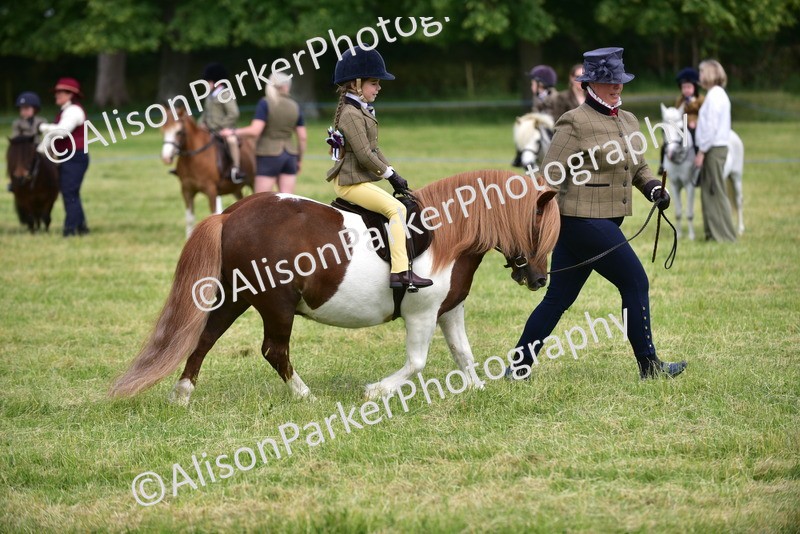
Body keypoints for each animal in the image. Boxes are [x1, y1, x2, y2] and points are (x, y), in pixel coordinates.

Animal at [109, 170, 560, 405]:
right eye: (539, 230)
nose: (540, 280)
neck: (445, 233)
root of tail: (231, 213)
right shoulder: (422, 313)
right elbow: (416, 363)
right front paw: (376, 390)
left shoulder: (448, 310)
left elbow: (463, 353)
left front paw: (479, 389)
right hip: (276, 304)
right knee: (274, 350)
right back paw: (305, 396)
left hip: (235, 298)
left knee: (203, 339)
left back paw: (182, 395)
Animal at [161, 108, 256, 237]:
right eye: (163, 130)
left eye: (179, 132)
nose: (166, 158)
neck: (194, 157)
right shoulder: (187, 190)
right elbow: (189, 218)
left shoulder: (211, 190)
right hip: (236, 189)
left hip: (253, 182)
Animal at [660, 104, 745, 239]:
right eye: (662, 130)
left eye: (681, 128)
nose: (671, 153)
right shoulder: (674, 186)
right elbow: (678, 212)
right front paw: (679, 234)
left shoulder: (689, 186)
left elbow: (689, 213)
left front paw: (691, 236)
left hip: (736, 177)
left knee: (738, 200)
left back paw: (740, 229)